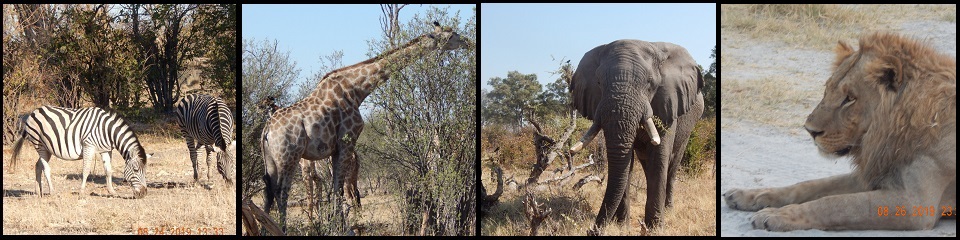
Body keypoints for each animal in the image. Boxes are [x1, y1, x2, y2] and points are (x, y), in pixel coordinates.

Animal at [10, 105, 153, 199]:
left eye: (145, 171)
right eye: (135, 170)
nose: (143, 194)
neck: (107, 130)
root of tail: (34, 111)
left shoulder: (106, 150)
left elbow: (108, 171)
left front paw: (112, 192)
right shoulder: (88, 145)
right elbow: (86, 170)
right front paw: (82, 192)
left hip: (47, 148)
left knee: (38, 166)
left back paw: (38, 192)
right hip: (39, 144)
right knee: (46, 168)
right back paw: (52, 192)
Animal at [260, 22, 466, 232]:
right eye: (451, 35)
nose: (467, 42)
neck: (357, 89)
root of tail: (266, 130)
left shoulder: (336, 148)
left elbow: (336, 189)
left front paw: (336, 225)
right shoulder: (346, 142)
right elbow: (338, 189)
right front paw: (339, 228)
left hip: (270, 159)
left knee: (269, 192)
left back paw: (265, 228)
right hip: (289, 157)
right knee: (281, 192)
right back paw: (281, 229)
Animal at [568, 39, 700, 232]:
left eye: (650, 83)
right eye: (598, 82)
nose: (591, 230)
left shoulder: (667, 103)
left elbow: (659, 157)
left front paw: (655, 230)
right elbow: (625, 162)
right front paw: (622, 228)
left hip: (689, 127)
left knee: (672, 165)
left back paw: (669, 210)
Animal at [724, 32, 956, 232]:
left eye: (850, 98)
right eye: (827, 89)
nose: (810, 130)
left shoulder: (915, 203)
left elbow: (834, 204)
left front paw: (777, 215)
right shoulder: (872, 175)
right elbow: (811, 185)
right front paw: (750, 195)